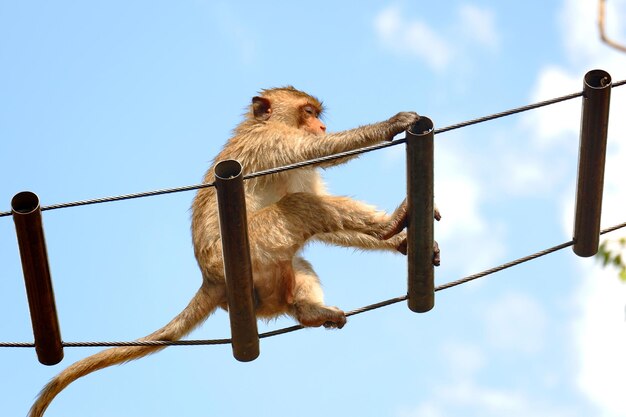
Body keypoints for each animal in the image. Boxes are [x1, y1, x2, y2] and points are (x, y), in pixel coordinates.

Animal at [29, 86, 438, 414]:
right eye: (308, 112)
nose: (320, 126)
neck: (262, 125)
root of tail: (210, 278)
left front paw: (400, 243)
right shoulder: (273, 141)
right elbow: (320, 153)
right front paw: (393, 124)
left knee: (298, 257)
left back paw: (309, 309)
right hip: (257, 241)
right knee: (297, 206)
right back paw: (388, 225)